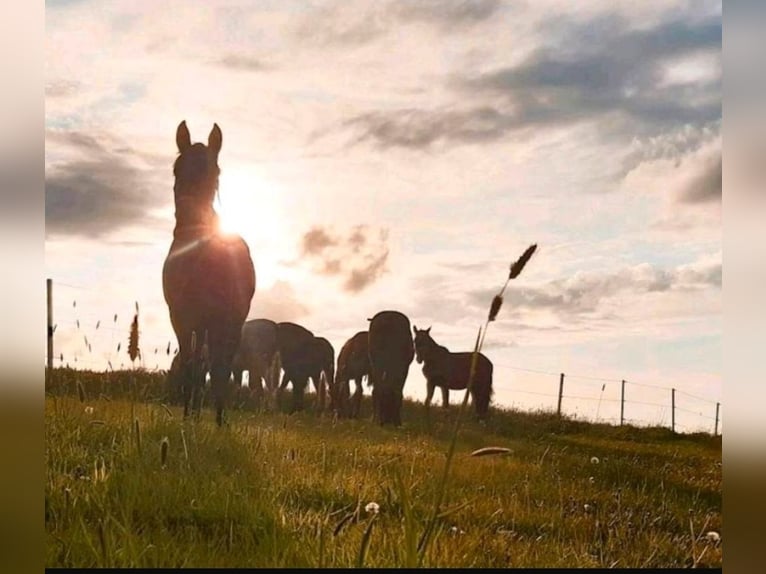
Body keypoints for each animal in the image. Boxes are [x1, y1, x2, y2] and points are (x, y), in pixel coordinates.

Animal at [162, 121, 256, 426]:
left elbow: (219, 369)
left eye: (215, 172)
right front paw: (188, 418)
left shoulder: (221, 319)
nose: (188, 219)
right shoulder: (180, 317)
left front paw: (219, 422)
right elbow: (190, 366)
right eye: (177, 169)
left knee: (219, 366)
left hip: (230, 324)